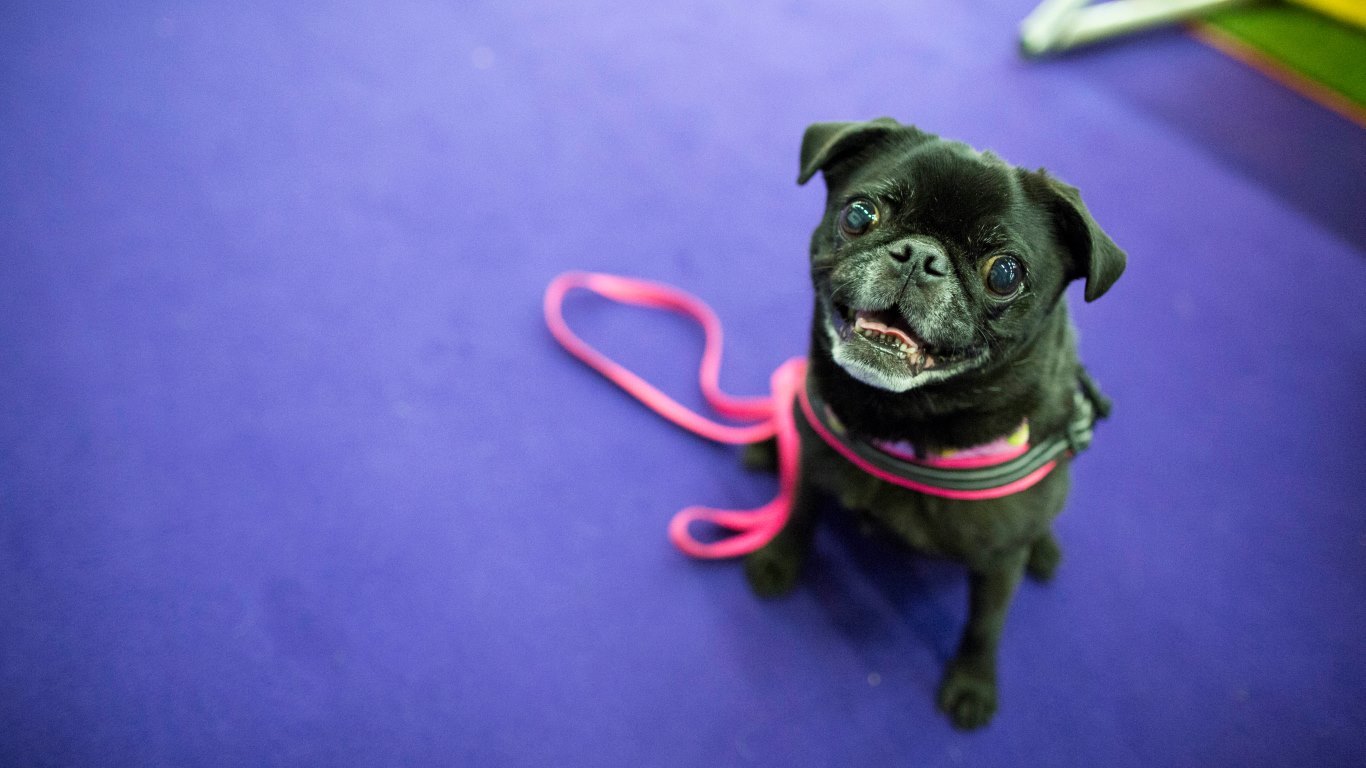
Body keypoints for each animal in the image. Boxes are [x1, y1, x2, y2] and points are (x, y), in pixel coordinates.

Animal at [743, 116, 1125, 727]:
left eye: (1005, 274)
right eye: (859, 216)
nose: (920, 256)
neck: (905, 423)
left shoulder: (999, 562)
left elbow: (985, 625)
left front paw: (972, 685)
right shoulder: (816, 459)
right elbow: (799, 512)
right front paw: (778, 560)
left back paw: (1045, 549)